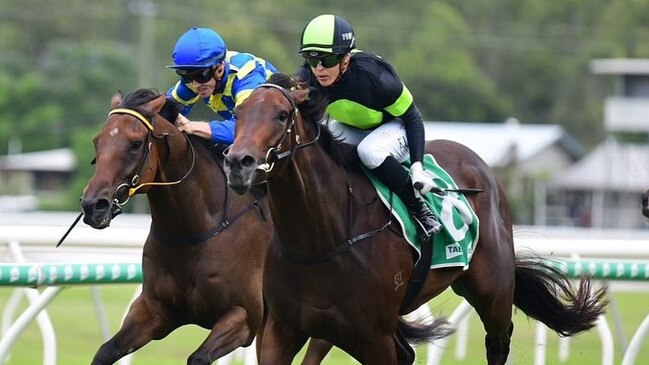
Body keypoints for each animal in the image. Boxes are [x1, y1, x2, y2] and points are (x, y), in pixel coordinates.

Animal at [79, 89, 272, 364]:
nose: (93, 205)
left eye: (136, 144)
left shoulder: (244, 317)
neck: (193, 232)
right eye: (98, 141)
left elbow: (198, 357)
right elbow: (106, 351)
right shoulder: (154, 309)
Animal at [223, 72, 608, 362]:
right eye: (237, 115)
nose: (238, 163)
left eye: (281, 115)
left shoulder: (372, 338)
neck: (321, 239)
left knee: (499, 341)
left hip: (494, 292)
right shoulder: (282, 330)